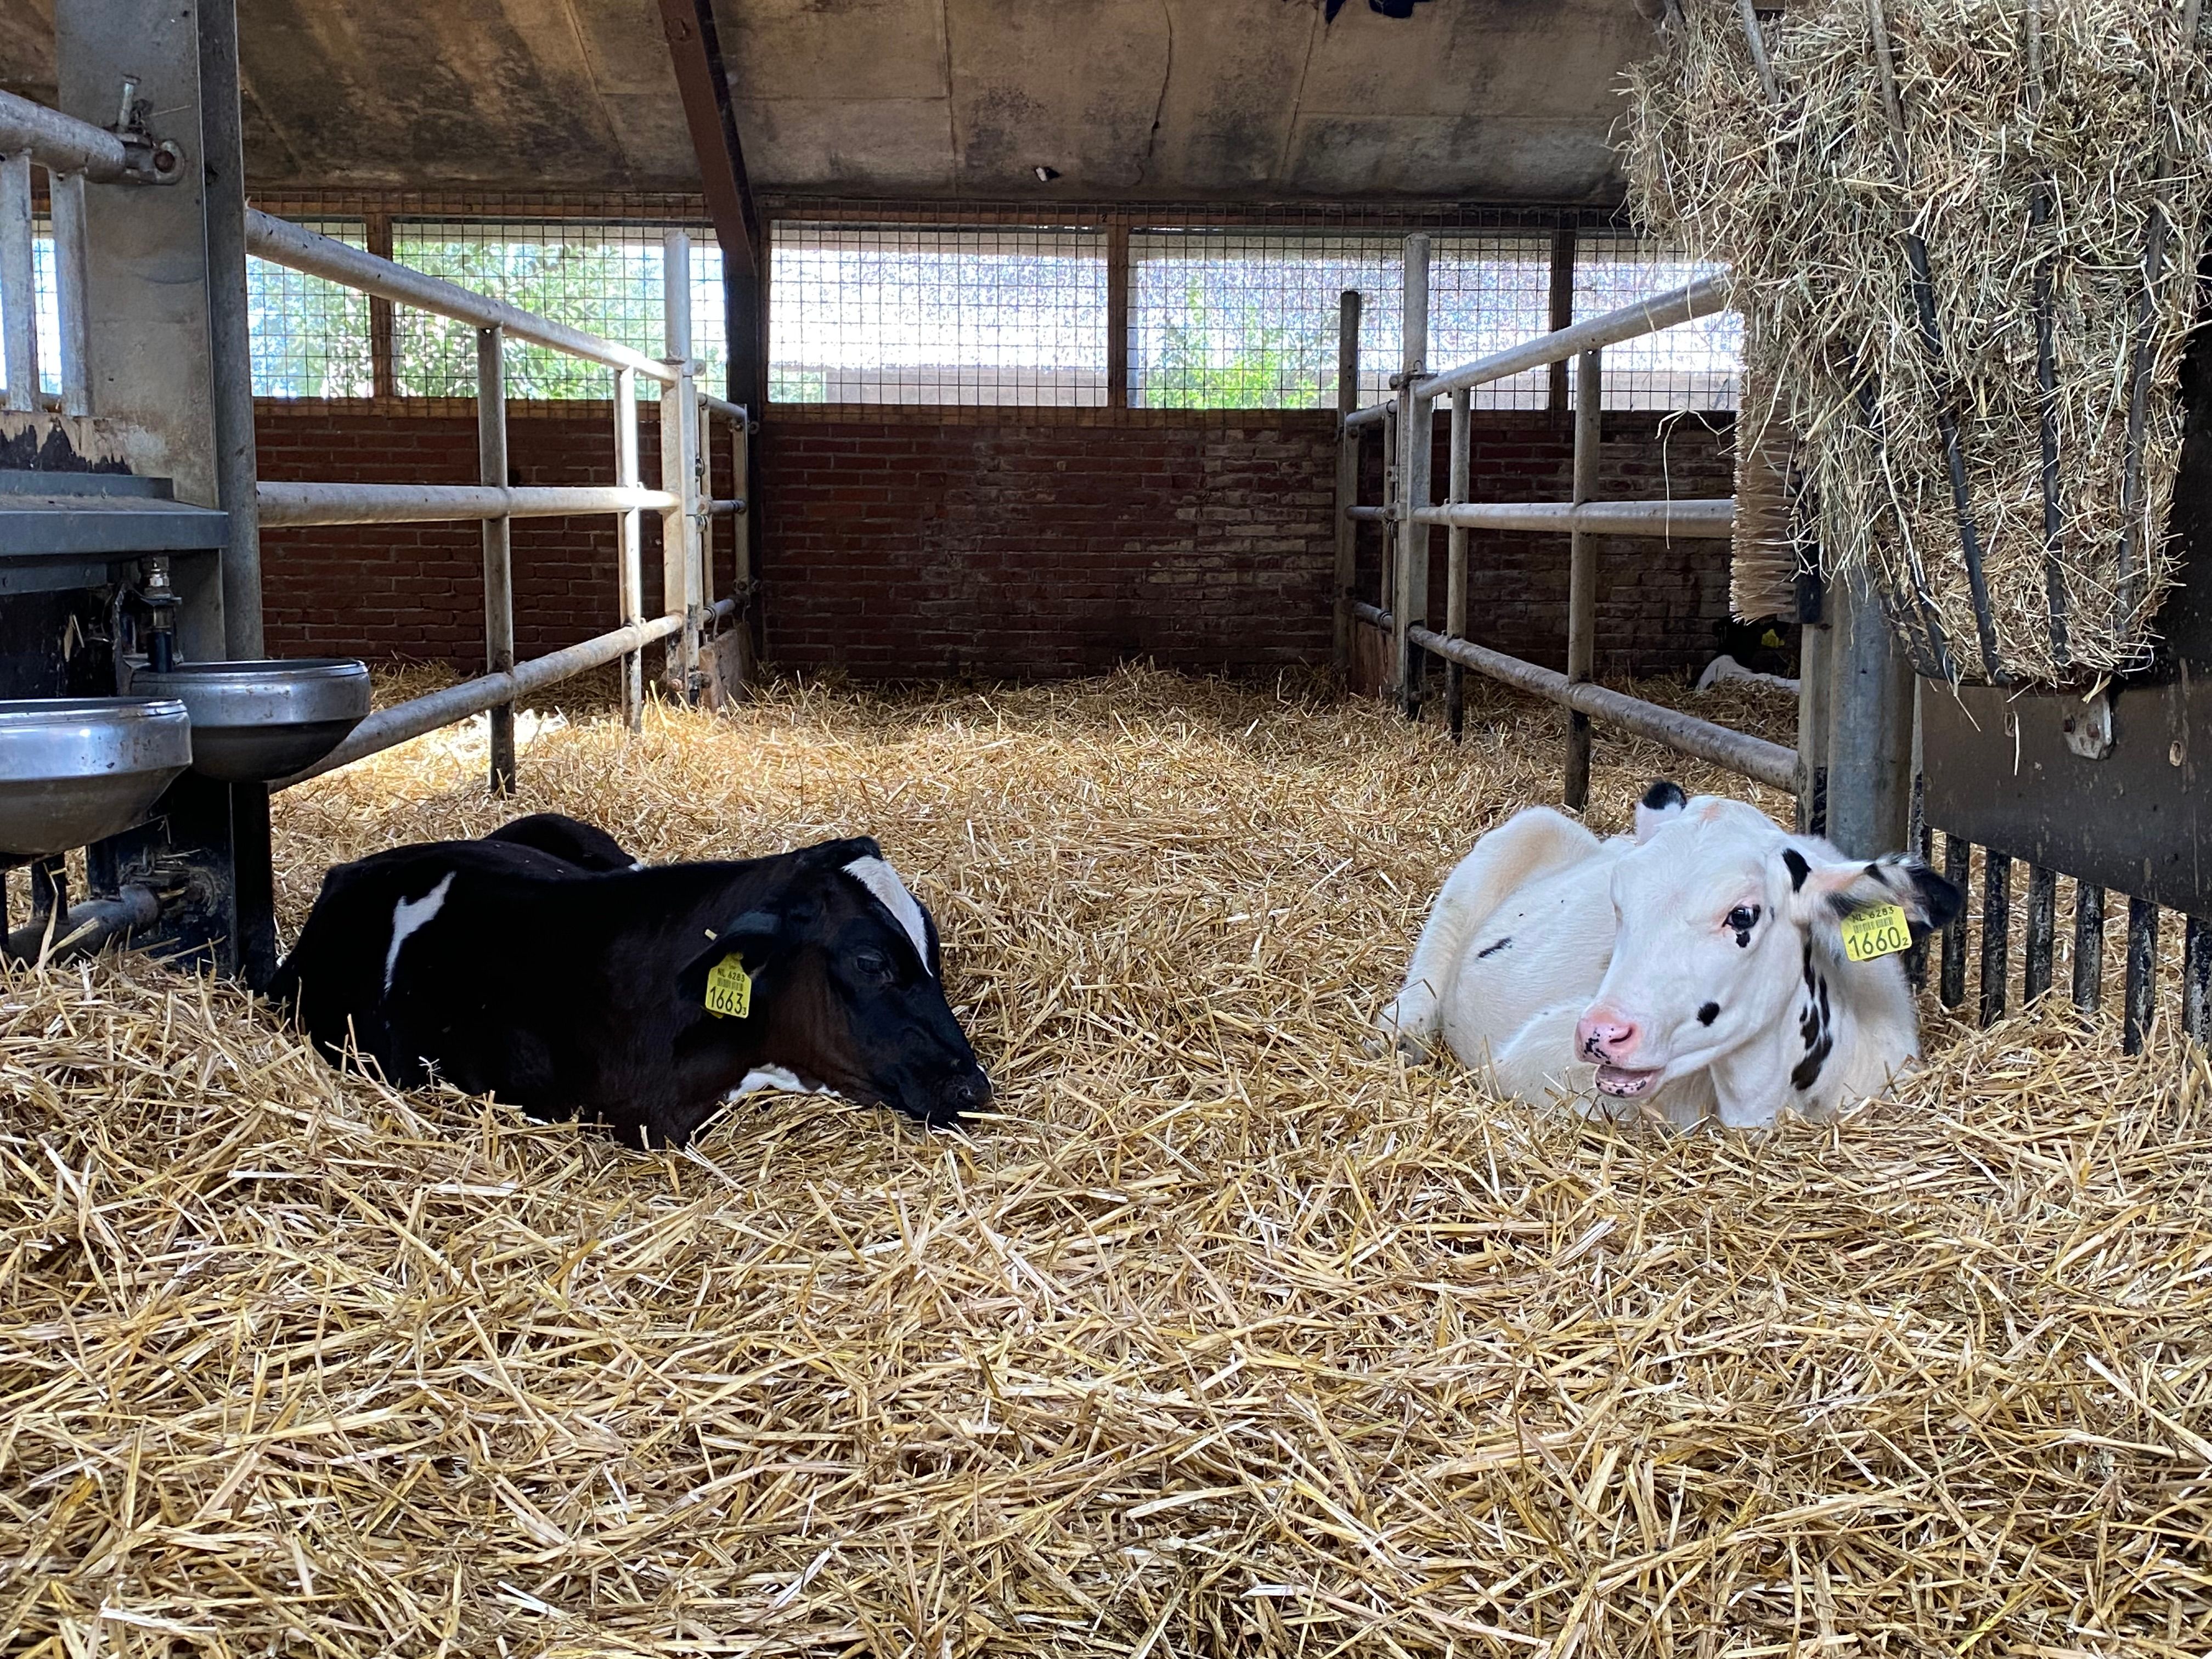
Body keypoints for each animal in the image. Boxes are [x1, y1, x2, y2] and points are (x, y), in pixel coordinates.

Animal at [1375, 781, 1962, 1128]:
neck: (1760, 1103)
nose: (1601, 1034)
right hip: (1509, 845)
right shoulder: (1527, 1063)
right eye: (1619, 901)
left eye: (1743, 915)